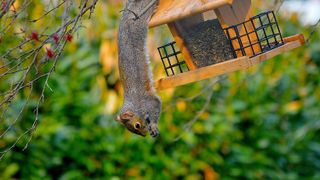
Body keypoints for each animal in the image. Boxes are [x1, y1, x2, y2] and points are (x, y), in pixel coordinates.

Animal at [116, 0, 161, 138]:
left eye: (137, 125)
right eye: (133, 131)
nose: (144, 135)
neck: (135, 105)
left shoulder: (148, 101)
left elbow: (156, 105)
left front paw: (153, 126)